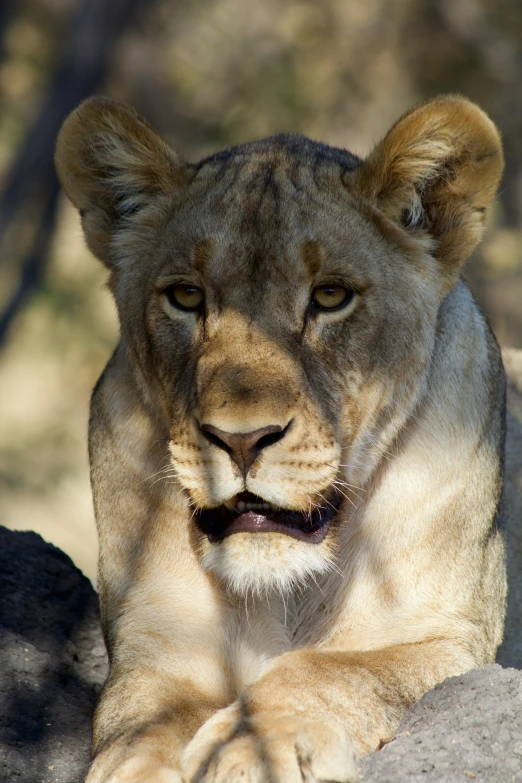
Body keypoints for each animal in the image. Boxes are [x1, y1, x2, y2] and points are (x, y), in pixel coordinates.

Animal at [54, 96, 516, 783]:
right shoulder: (156, 648)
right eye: (186, 295)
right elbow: (136, 729)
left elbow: (327, 668)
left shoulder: (448, 636)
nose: (242, 440)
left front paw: (250, 746)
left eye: (330, 296)